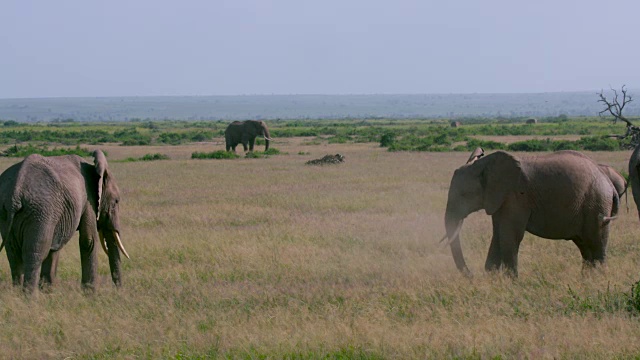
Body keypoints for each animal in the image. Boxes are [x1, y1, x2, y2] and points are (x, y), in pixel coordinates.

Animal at [0, 150, 130, 292]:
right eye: (116, 201)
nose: (118, 291)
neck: (95, 170)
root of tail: (16, 191)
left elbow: (54, 248)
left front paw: (48, 292)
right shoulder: (88, 199)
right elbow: (88, 240)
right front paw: (90, 293)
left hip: (8, 213)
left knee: (14, 255)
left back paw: (16, 294)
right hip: (41, 211)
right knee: (35, 253)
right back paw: (30, 296)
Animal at [442, 148, 616, 278]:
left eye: (464, 195)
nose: (471, 276)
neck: (484, 166)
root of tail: (609, 183)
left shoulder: (515, 197)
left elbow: (509, 235)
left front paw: (511, 282)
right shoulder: (500, 199)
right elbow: (497, 234)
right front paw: (492, 278)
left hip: (597, 204)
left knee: (596, 242)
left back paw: (599, 279)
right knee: (585, 246)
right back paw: (586, 278)